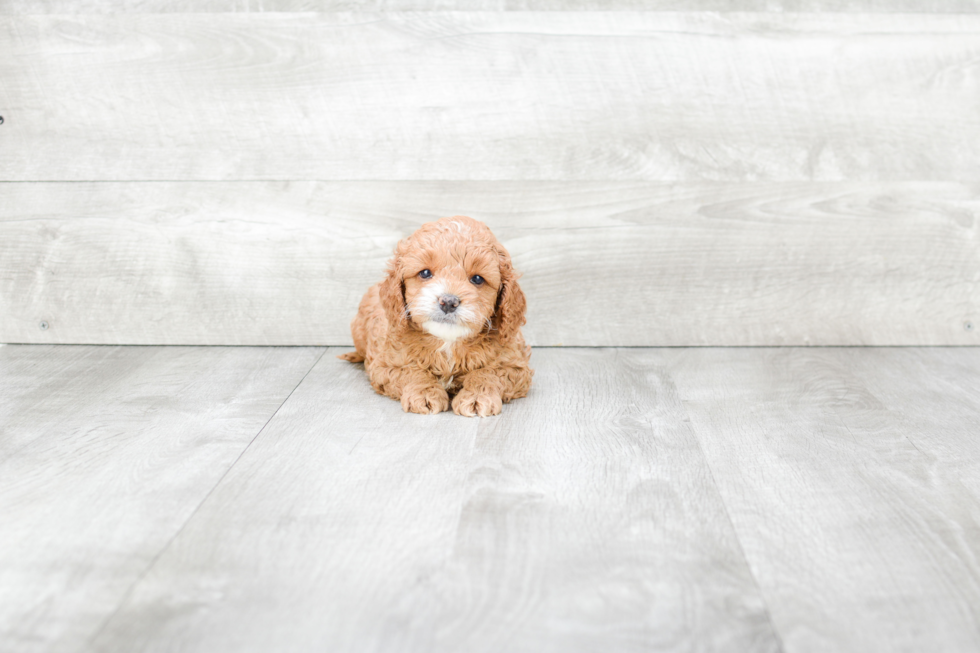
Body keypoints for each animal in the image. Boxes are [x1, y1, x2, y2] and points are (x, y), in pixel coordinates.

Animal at [340, 216, 532, 416]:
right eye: (425, 273)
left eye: (478, 279)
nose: (448, 301)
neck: (447, 341)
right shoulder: (386, 364)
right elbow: (412, 372)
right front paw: (423, 393)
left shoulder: (514, 365)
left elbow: (489, 373)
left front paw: (477, 396)